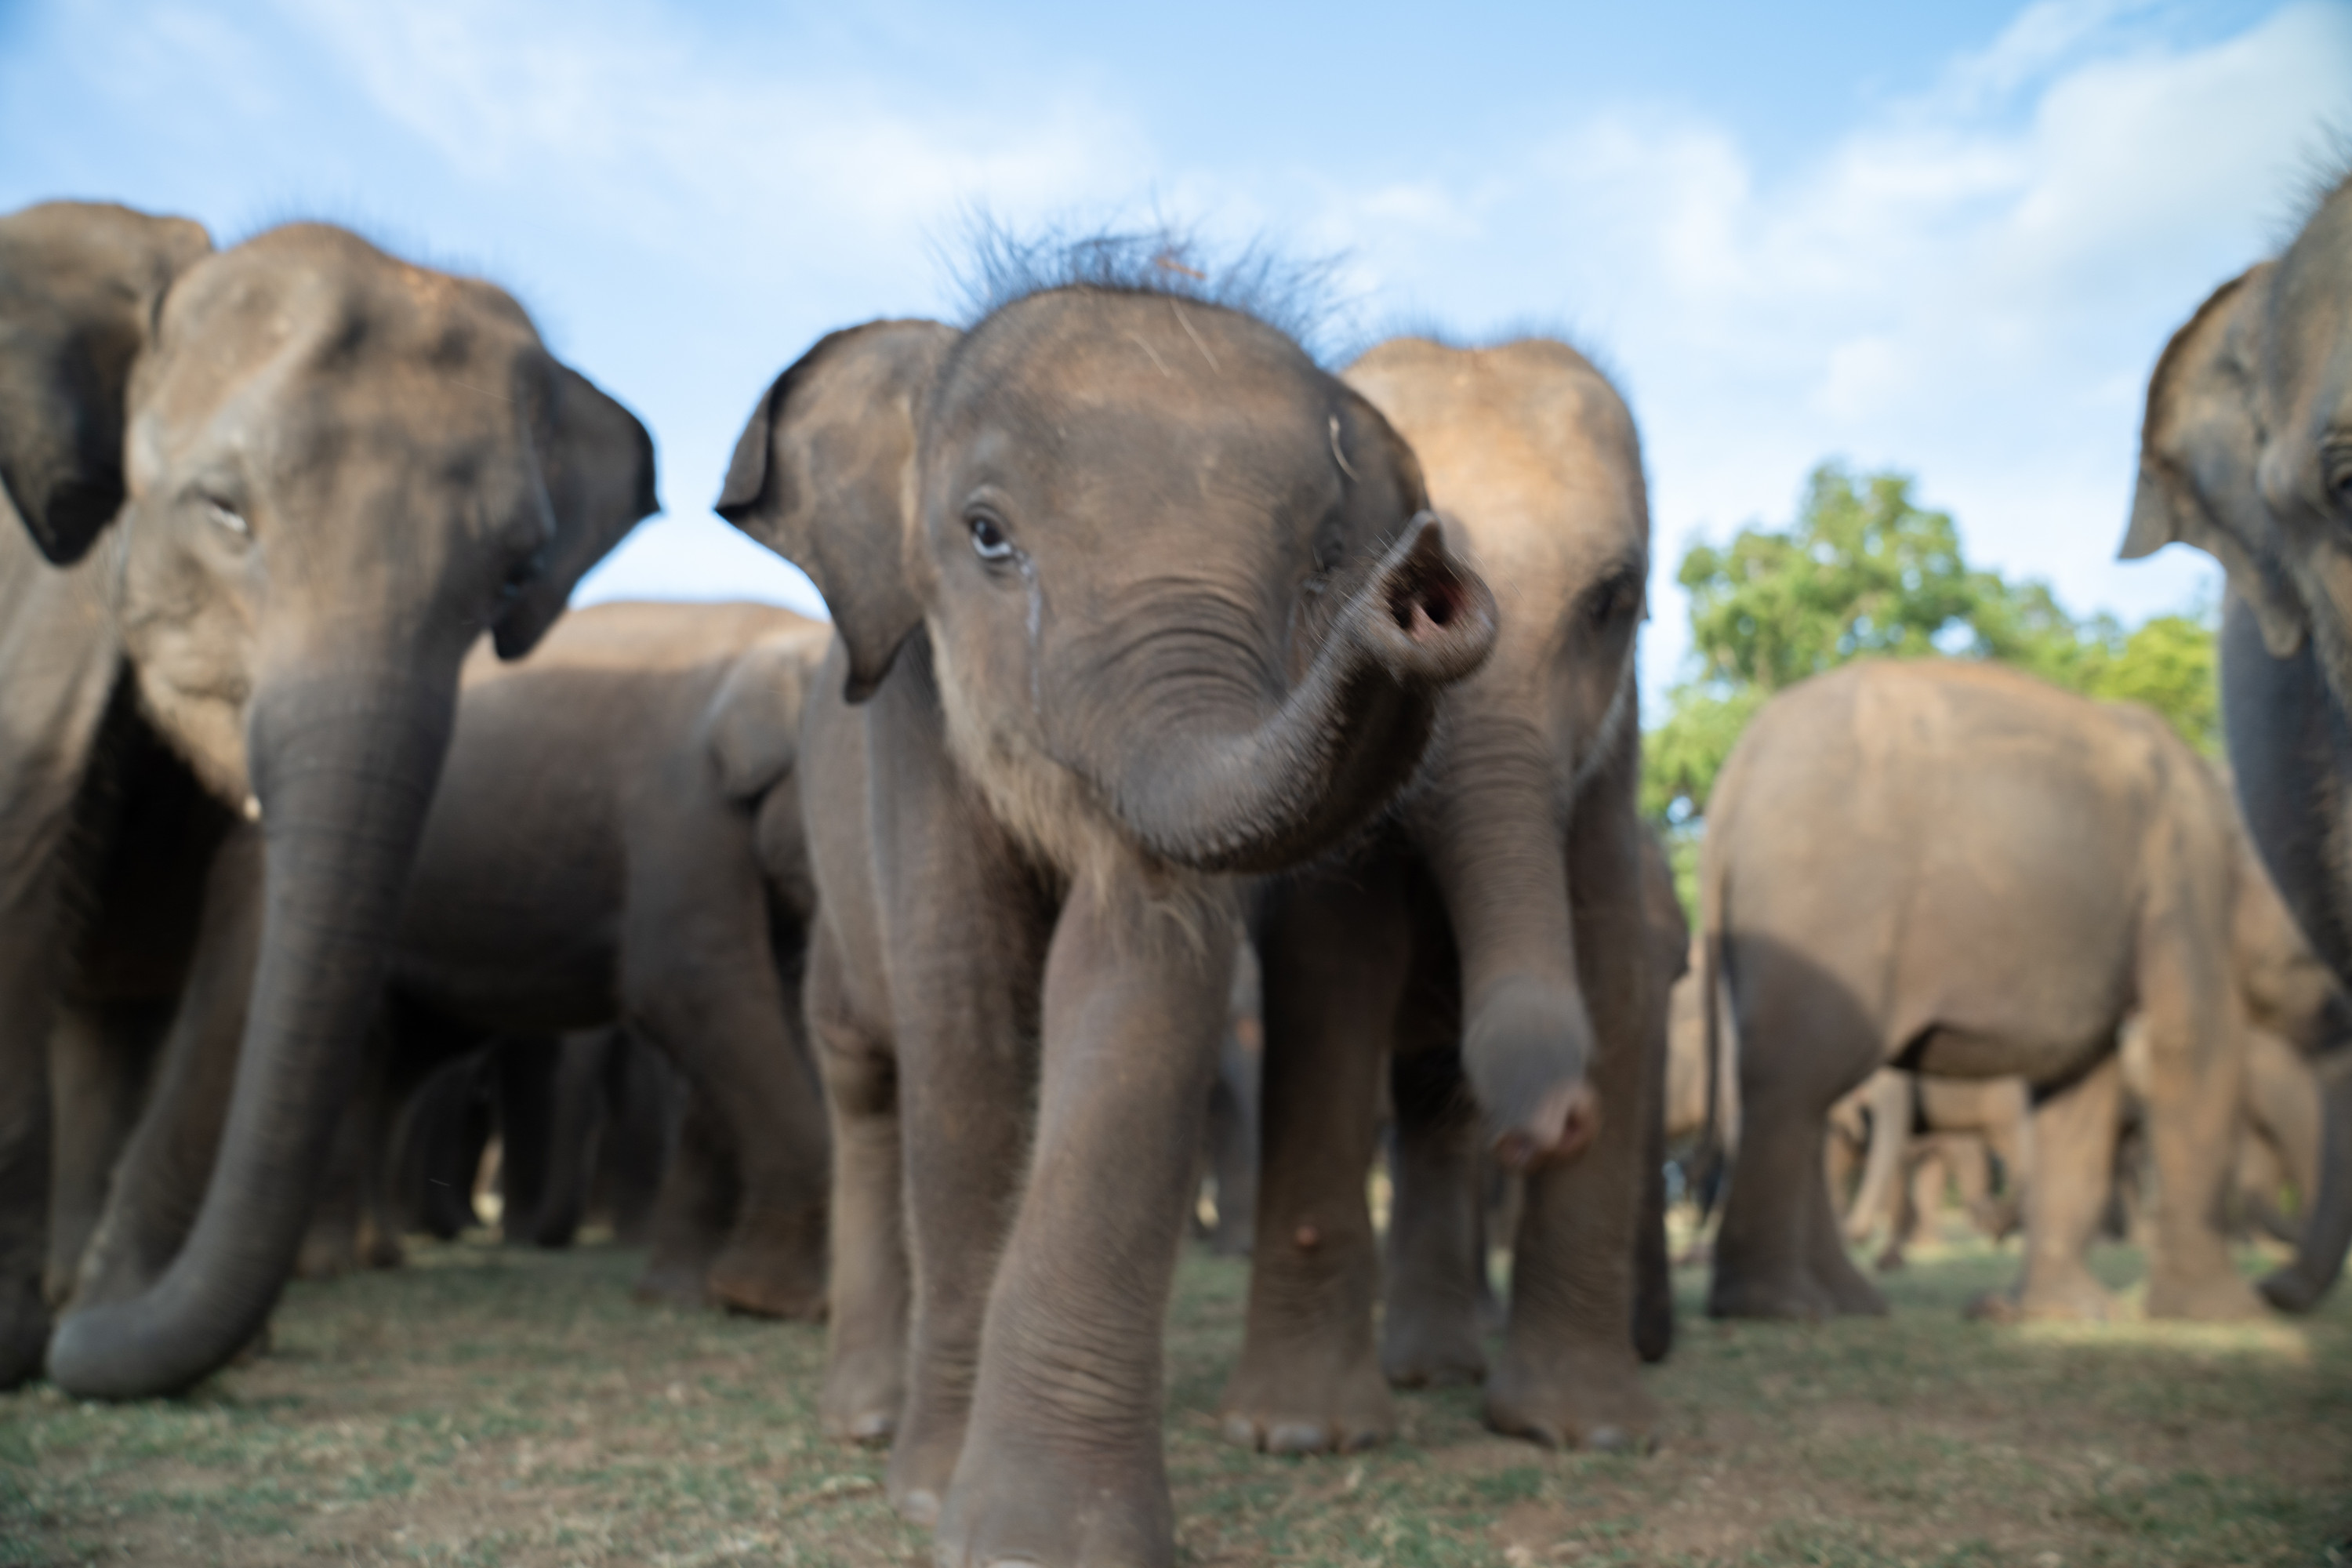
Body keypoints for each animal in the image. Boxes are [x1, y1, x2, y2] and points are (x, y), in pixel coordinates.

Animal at [0, 202, 656, 1396]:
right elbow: (21, 856)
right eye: (224, 510)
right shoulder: (36, 611)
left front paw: (103, 1330)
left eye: (515, 573)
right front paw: (17, 1350)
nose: (76, 1353)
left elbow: (252, 943)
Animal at [66, 600, 835, 1323]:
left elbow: (758, 1009)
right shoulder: (679, 813)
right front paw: (778, 1304)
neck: (785, 636)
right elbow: (689, 988)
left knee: (395, 1063)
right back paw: (332, 1267)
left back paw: (376, 1254)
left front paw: (701, 1297)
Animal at [719, 256, 1501, 1567]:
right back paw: (868, 1419)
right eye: (987, 536)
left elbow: (1142, 966)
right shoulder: (914, 709)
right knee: (866, 1078)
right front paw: (931, 1501)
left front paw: (1038, 1539)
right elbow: (968, 1002)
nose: (1425, 588)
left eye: (1324, 560)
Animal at [1213, 335, 1665, 1455]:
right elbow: (1328, 989)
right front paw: (1298, 1434)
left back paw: (1438, 1366)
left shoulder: (1607, 784)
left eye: (1614, 598)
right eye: (1347, 571)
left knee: (1430, 1104)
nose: (1553, 1120)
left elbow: (1617, 978)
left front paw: (1592, 1432)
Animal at [1701, 658, 2330, 1323]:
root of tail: (1735, 776)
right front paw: (2228, 1315)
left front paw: (2065, 1312)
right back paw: (1777, 1306)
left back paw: (1850, 1303)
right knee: (1796, 1081)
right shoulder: (2183, 876)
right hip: (1829, 908)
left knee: (1812, 1096)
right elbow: (2194, 1040)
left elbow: (2079, 1083)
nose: (2279, 1290)